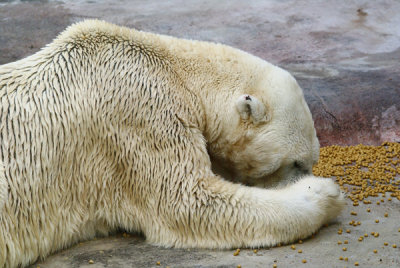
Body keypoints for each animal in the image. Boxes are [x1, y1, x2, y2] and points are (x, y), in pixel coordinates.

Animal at [0, 19, 344, 266]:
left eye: (311, 161)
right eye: (296, 163)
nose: (308, 176)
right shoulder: (138, 112)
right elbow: (188, 202)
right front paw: (325, 193)